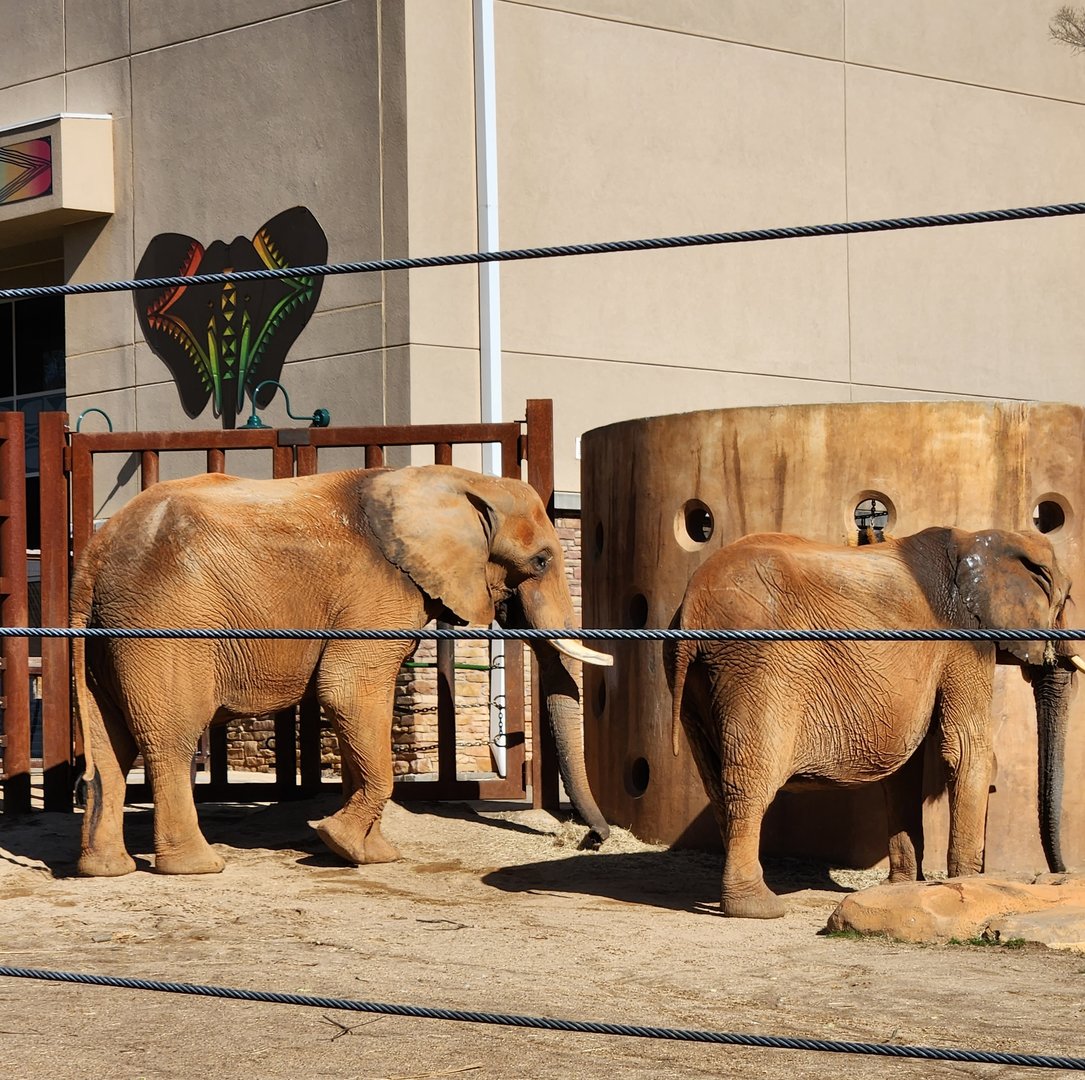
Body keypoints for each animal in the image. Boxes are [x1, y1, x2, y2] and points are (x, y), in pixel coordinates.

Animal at [72, 464, 613, 876]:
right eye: (540, 561)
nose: (593, 838)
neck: (455, 480)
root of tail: (93, 557)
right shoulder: (379, 591)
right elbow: (348, 691)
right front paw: (347, 846)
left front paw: (366, 853)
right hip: (163, 626)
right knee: (170, 739)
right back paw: (199, 868)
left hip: (107, 633)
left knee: (109, 742)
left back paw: (106, 870)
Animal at [666, 526, 1080, 919]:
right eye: (1064, 603)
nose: (1061, 874)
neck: (978, 538)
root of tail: (694, 599)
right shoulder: (963, 639)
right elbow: (965, 750)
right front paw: (970, 886)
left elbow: (906, 769)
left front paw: (903, 888)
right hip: (756, 663)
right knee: (749, 783)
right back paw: (759, 908)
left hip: (697, 679)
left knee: (715, 782)